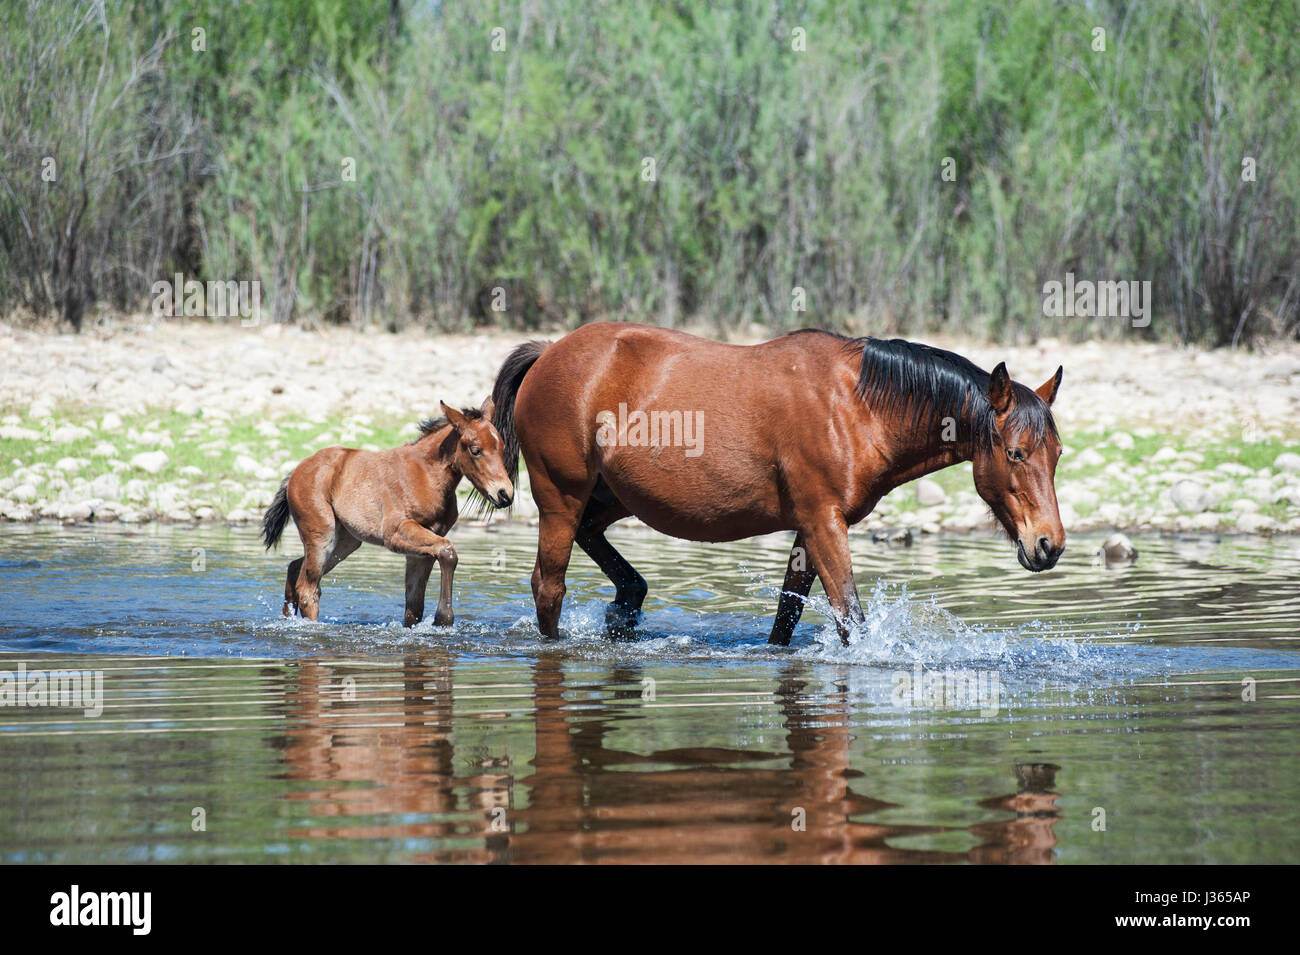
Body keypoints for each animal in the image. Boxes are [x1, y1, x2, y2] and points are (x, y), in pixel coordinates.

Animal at [261, 399, 514, 627]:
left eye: (502, 448)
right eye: (475, 450)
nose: (505, 494)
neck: (427, 476)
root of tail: (297, 470)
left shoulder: (421, 550)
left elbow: (414, 605)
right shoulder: (396, 533)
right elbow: (448, 552)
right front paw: (443, 619)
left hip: (345, 542)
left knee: (294, 569)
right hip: (322, 535)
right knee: (308, 588)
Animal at [484, 322, 1065, 645]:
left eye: (1057, 454)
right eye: (1015, 453)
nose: (1049, 544)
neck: (857, 407)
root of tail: (551, 352)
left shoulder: (810, 529)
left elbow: (786, 617)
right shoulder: (824, 523)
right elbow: (850, 618)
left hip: (612, 498)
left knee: (598, 547)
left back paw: (626, 605)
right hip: (560, 497)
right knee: (548, 587)